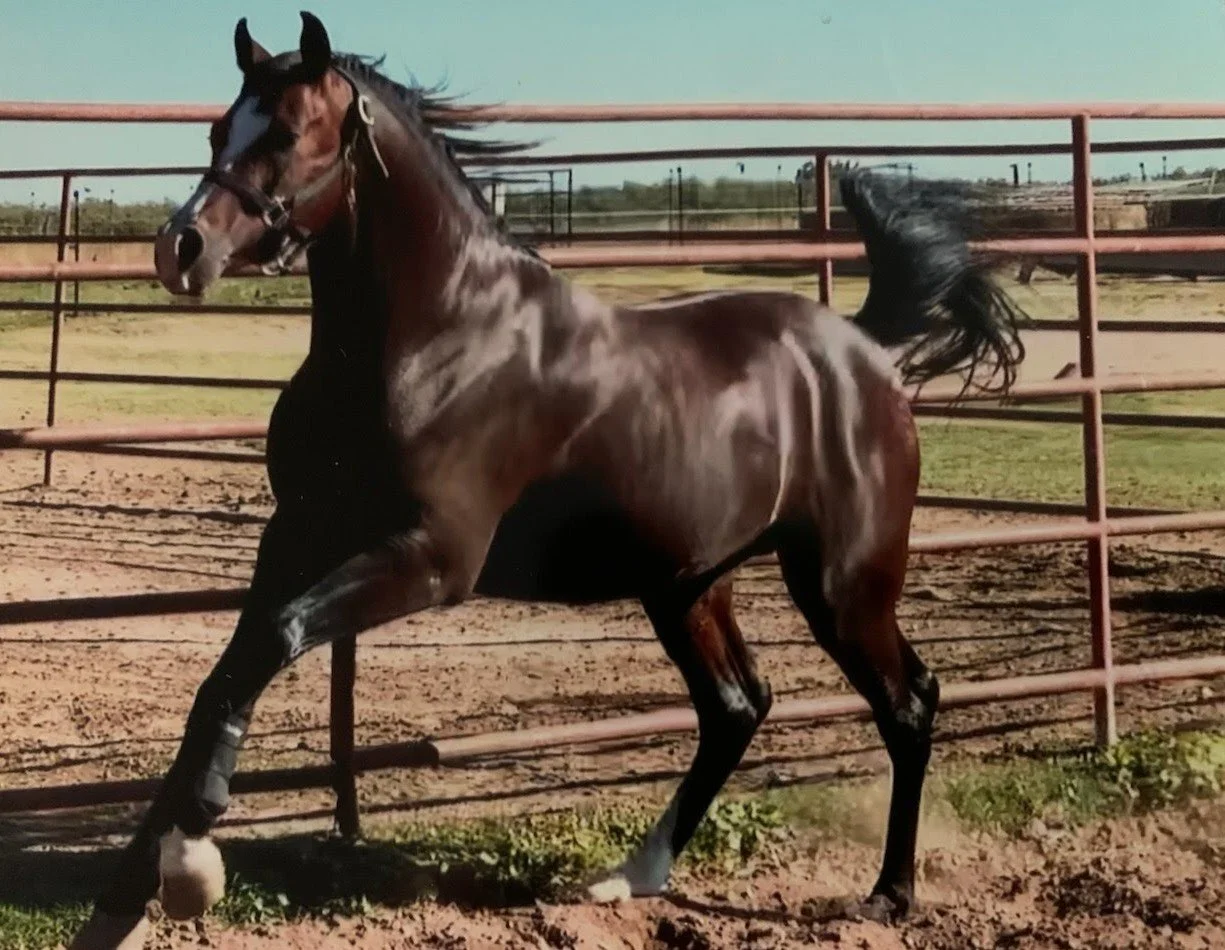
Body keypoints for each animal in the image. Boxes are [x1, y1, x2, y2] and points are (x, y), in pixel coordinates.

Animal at [69, 13, 1028, 949]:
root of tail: (862, 350)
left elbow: (272, 640)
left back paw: (888, 895)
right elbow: (224, 677)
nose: (180, 247)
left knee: (906, 703)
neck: (436, 338)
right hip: (686, 585)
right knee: (736, 706)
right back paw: (630, 877)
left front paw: (195, 846)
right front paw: (124, 900)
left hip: (842, 583)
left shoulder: (429, 559)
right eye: (218, 129)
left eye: (290, 132)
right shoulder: (296, 535)